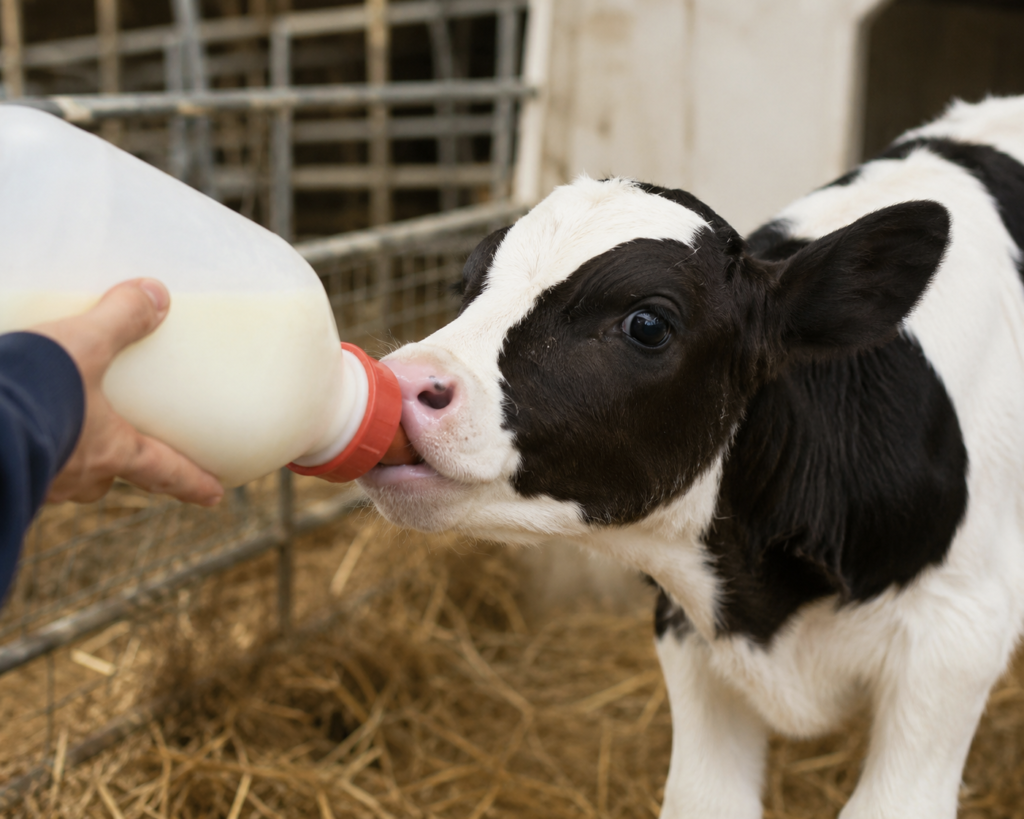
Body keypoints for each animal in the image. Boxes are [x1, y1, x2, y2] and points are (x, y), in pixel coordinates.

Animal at [357, 96, 1024, 818]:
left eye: (648, 323)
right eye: (466, 285)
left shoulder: (957, 638)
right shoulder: (686, 628)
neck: (765, 605)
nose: (400, 383)